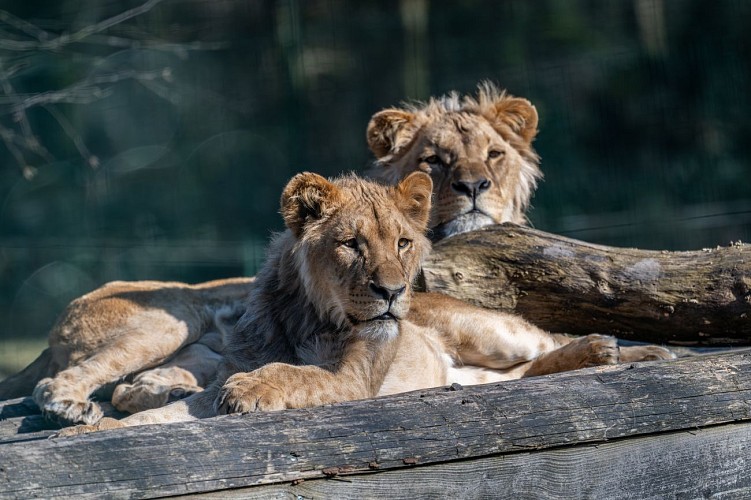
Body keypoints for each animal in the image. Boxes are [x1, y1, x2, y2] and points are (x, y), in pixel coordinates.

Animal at [56, 172, 673, 436]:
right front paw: (90, 433)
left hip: (491, 332)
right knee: (521, 374)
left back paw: (625, 352)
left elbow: (294, 374)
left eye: (402, 242)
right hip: (478, 371)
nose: (394, 292)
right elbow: (169, 412)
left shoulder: (351, 379)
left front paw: (252, 390)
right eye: (351, 244)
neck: (308, 313)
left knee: (548, 341)